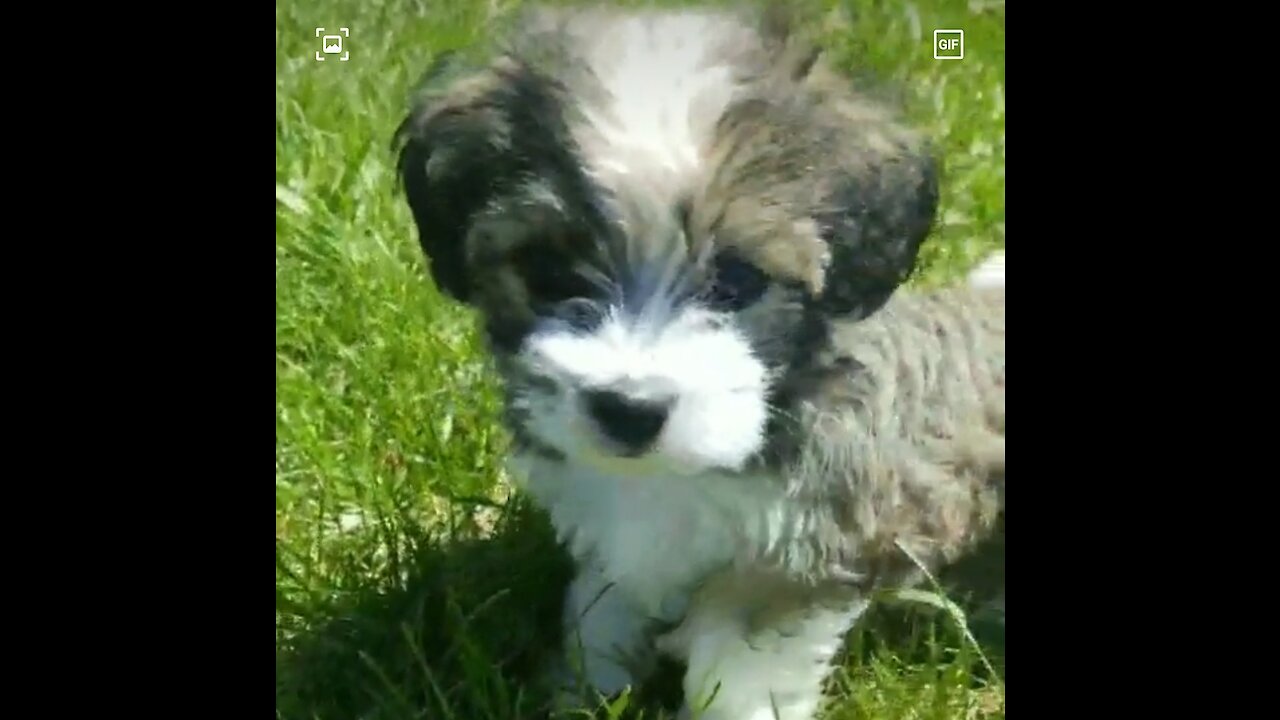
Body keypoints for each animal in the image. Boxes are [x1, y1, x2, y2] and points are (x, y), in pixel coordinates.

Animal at [394, 4, 1003, 712]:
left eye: (736, 280)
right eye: (547, 269)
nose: (628, 409)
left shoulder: (797, 553)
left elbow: (739, 662)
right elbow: (603, 609)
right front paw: (584, 691)